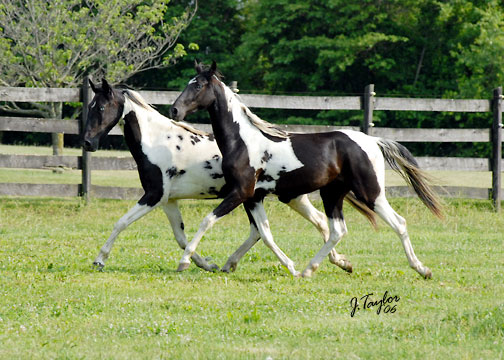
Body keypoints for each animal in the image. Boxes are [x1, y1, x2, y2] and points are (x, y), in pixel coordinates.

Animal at [81, 80, 346, 272]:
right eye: (90, 107)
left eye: (101, 107)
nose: (87, 143)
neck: (157, 142)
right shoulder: (168, 200)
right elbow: (180, 236)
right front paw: (205, 263)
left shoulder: (154, 196)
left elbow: (121, 222)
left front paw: (99, 259)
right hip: (284, 197)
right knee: (309, 222)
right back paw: (339, 261)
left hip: (274, 197)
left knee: (311, 223)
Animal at [171, 61, 442, 278]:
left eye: (198, 86)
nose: (175, 110)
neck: (243, 142)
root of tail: (374, 141)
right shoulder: (253, 197)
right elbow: (264, 233)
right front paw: (236, 264)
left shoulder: (240, 192)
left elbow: (208, 221)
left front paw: (185, 261)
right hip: (332, 194)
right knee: (337, 230)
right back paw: (311, 269)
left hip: (371, 193)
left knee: (399, 223)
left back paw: (422, 269)